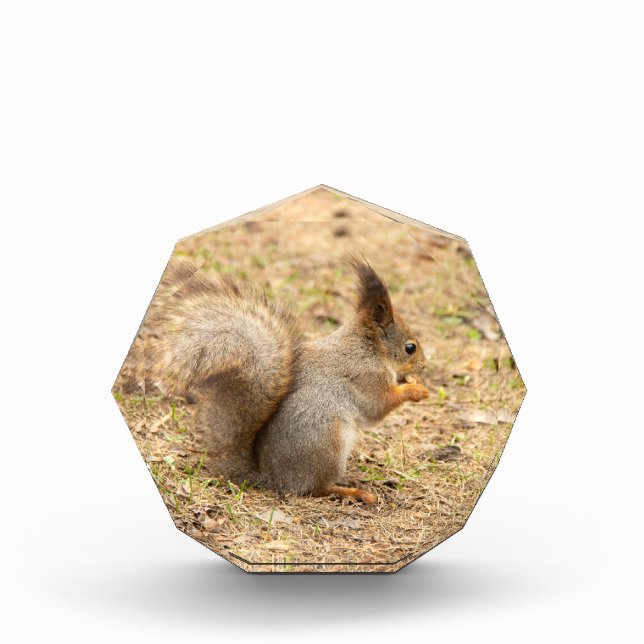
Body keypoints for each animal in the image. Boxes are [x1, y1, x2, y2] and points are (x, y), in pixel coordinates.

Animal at [148, 258, 429, 504]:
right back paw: (352, 492)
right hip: (327, 443)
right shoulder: (367, 378)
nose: (424, 366)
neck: (367, 349)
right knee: (316, 489)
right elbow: (378, 407)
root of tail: (273, 478)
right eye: (410, 347)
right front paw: (416, 390)